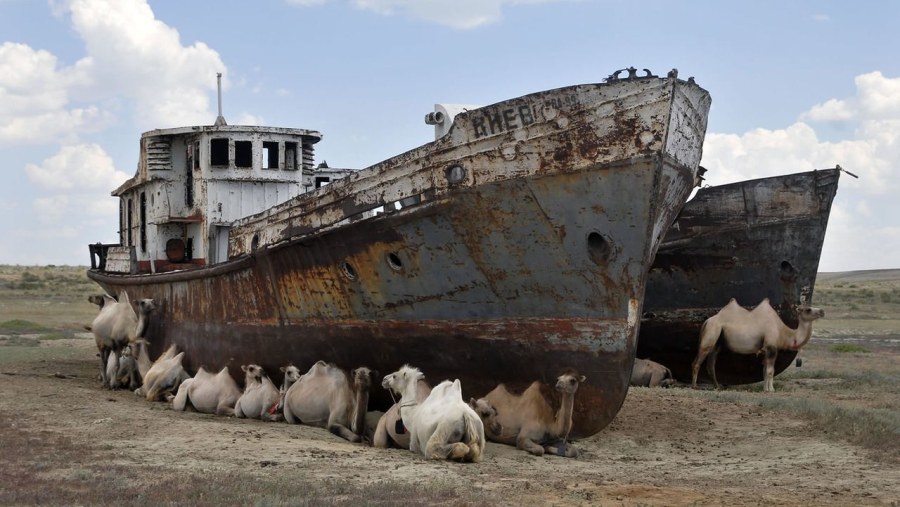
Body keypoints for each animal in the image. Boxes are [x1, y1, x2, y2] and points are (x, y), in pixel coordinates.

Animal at [692, 298, 828, 392]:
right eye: (808, 309)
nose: (822, 311)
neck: (783, 332)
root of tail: (707, 321)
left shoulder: (766, 349)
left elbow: (764, 370)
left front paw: (765, 388)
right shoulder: (771, 346)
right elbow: (770, 370)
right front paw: (771, 390)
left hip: (718, 342)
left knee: (711, 363)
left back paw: (717, 386)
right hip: (711, 333)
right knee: (697, 362)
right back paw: (694, 386)